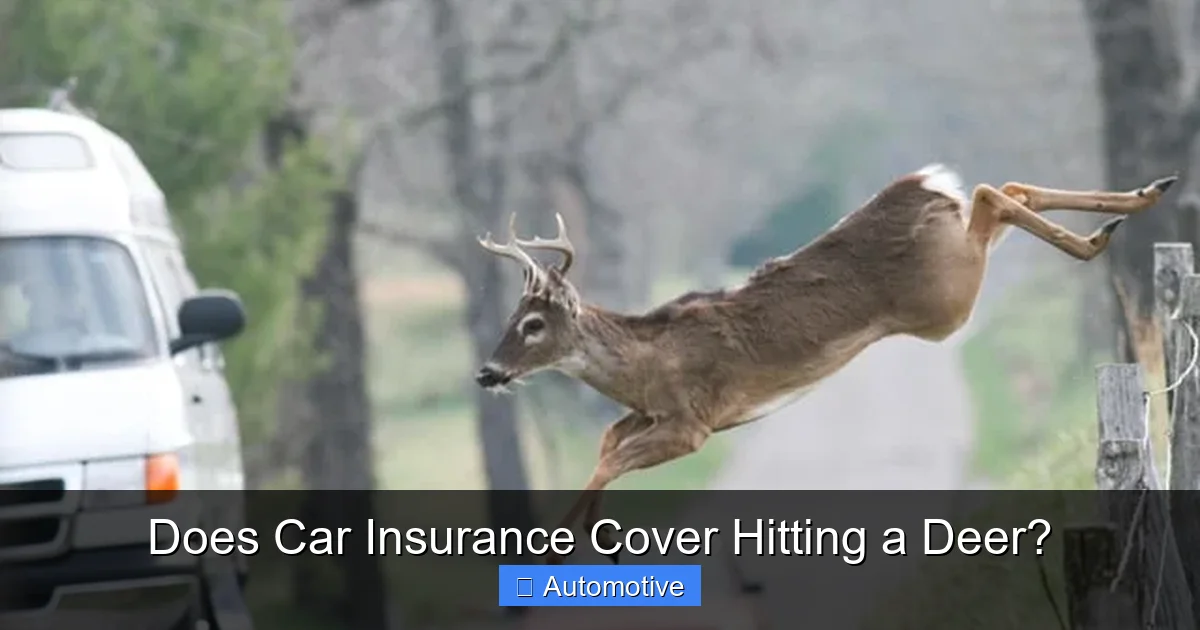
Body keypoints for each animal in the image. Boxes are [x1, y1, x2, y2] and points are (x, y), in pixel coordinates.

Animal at [473, 164, 1177, 567]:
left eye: (532, 325)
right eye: (511, 319)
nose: (486, 373)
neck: (644, 366)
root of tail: (921, 187)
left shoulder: (694, 422)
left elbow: (609, 459)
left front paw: (566, 546)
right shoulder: (648, 417)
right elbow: (605, 444)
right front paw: (579, 538)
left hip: (947, 298)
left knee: (991, 193)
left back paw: (1107, 230)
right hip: (955, 268)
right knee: (1006, 189)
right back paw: (1140, 199)